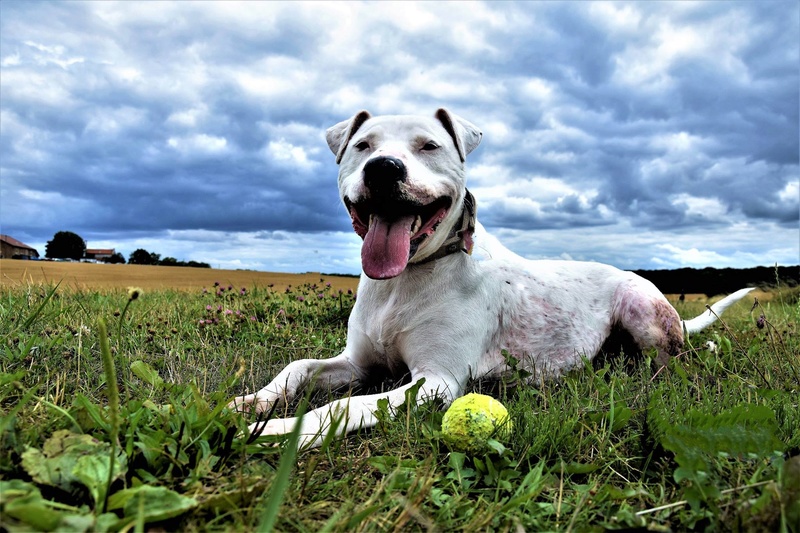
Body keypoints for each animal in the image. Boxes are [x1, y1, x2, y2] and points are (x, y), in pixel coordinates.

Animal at [230, 110, 752, 446]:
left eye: (429, 146)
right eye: (362, 146)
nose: (383, 169)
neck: (405, 278)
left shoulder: (436, 381)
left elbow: (347, 406)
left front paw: (279, 433)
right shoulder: (358, 363)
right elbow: (297, 367)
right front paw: (250, 403)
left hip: (642, 307)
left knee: (677, 359)